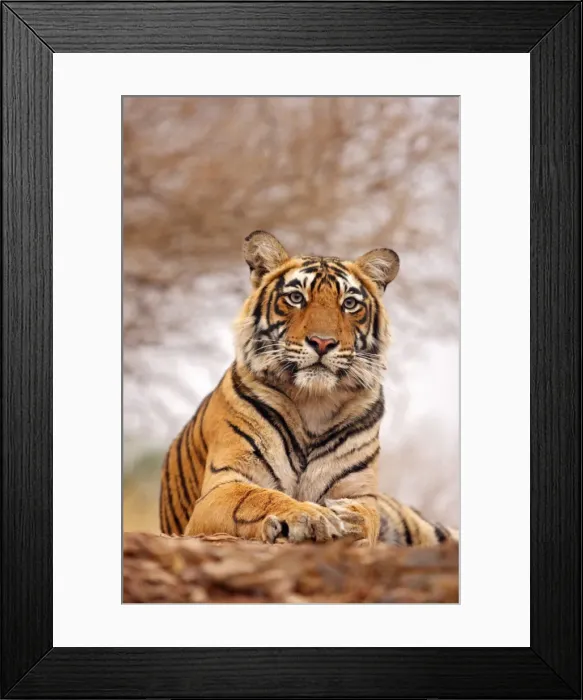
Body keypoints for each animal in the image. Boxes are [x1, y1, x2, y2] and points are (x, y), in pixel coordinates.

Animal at [159, 230, 459, 546]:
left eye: (349, 304)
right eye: (295, 298)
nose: (322, 342)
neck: (314, 402)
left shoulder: (361, 493)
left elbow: (367, 516)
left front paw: (349, 519)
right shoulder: (222, 487)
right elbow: (259, 497)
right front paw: (308, 516)